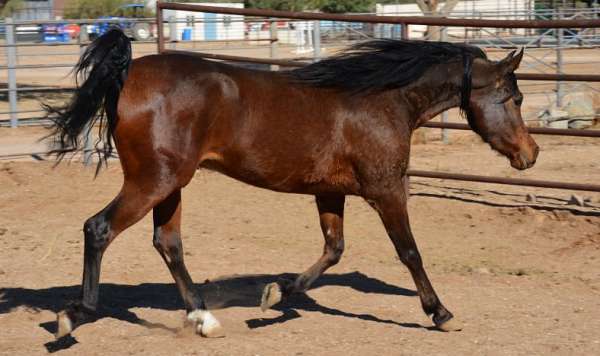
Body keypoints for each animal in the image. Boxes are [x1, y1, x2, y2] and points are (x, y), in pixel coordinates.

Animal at [47, 29, 540, 338]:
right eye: (514, 98)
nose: (530, 154)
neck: (385, 101)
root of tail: (128, 73)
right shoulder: (385, 190)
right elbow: (409, 252)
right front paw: (441, 313)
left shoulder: (330, 191)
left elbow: (333, 249)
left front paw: (274, 295)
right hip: (155, 180)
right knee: (99, 228)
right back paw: (72, 317)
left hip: (170, 184)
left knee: (168, 243)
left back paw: (204, 319)